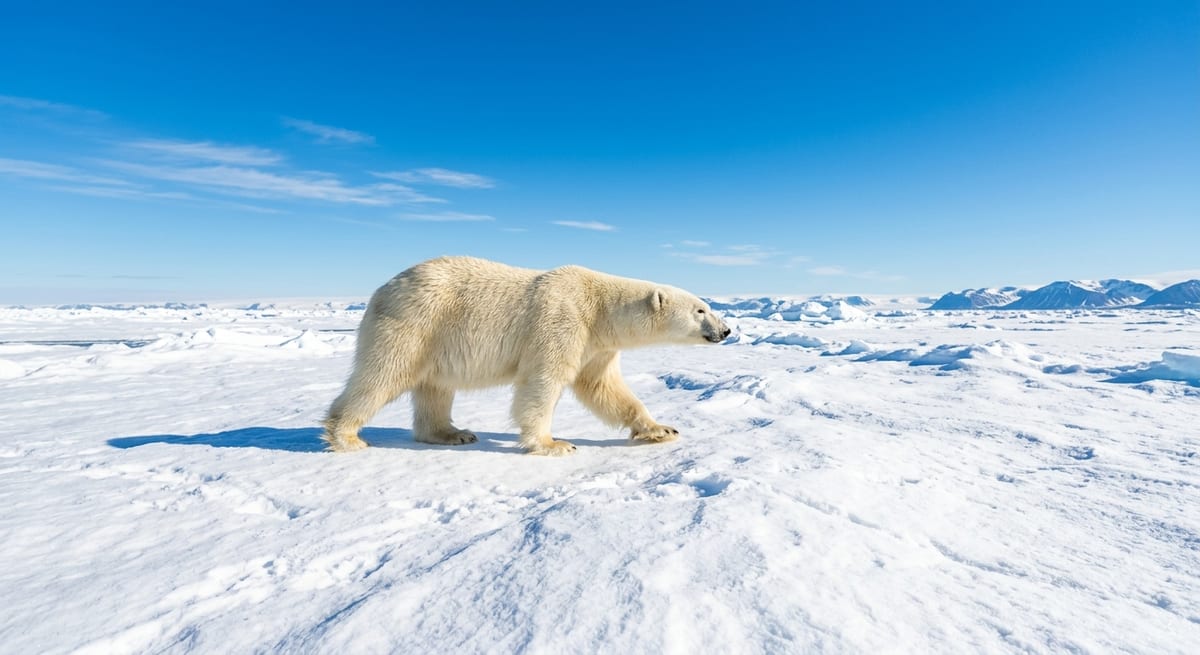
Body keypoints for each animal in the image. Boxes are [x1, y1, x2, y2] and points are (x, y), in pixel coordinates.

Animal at [321, 256, 731, 455]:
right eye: (701, 310)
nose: (726, 331)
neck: (599, 308)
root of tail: (382, 288)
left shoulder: (596, 345)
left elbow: (603, 388)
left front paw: (662, 429)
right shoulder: (562, 322)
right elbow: (543, 383)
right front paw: (553, 444)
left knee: (435, 388)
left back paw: (452, 433)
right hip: (416, 323)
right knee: (383, 375)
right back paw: (346, 437)